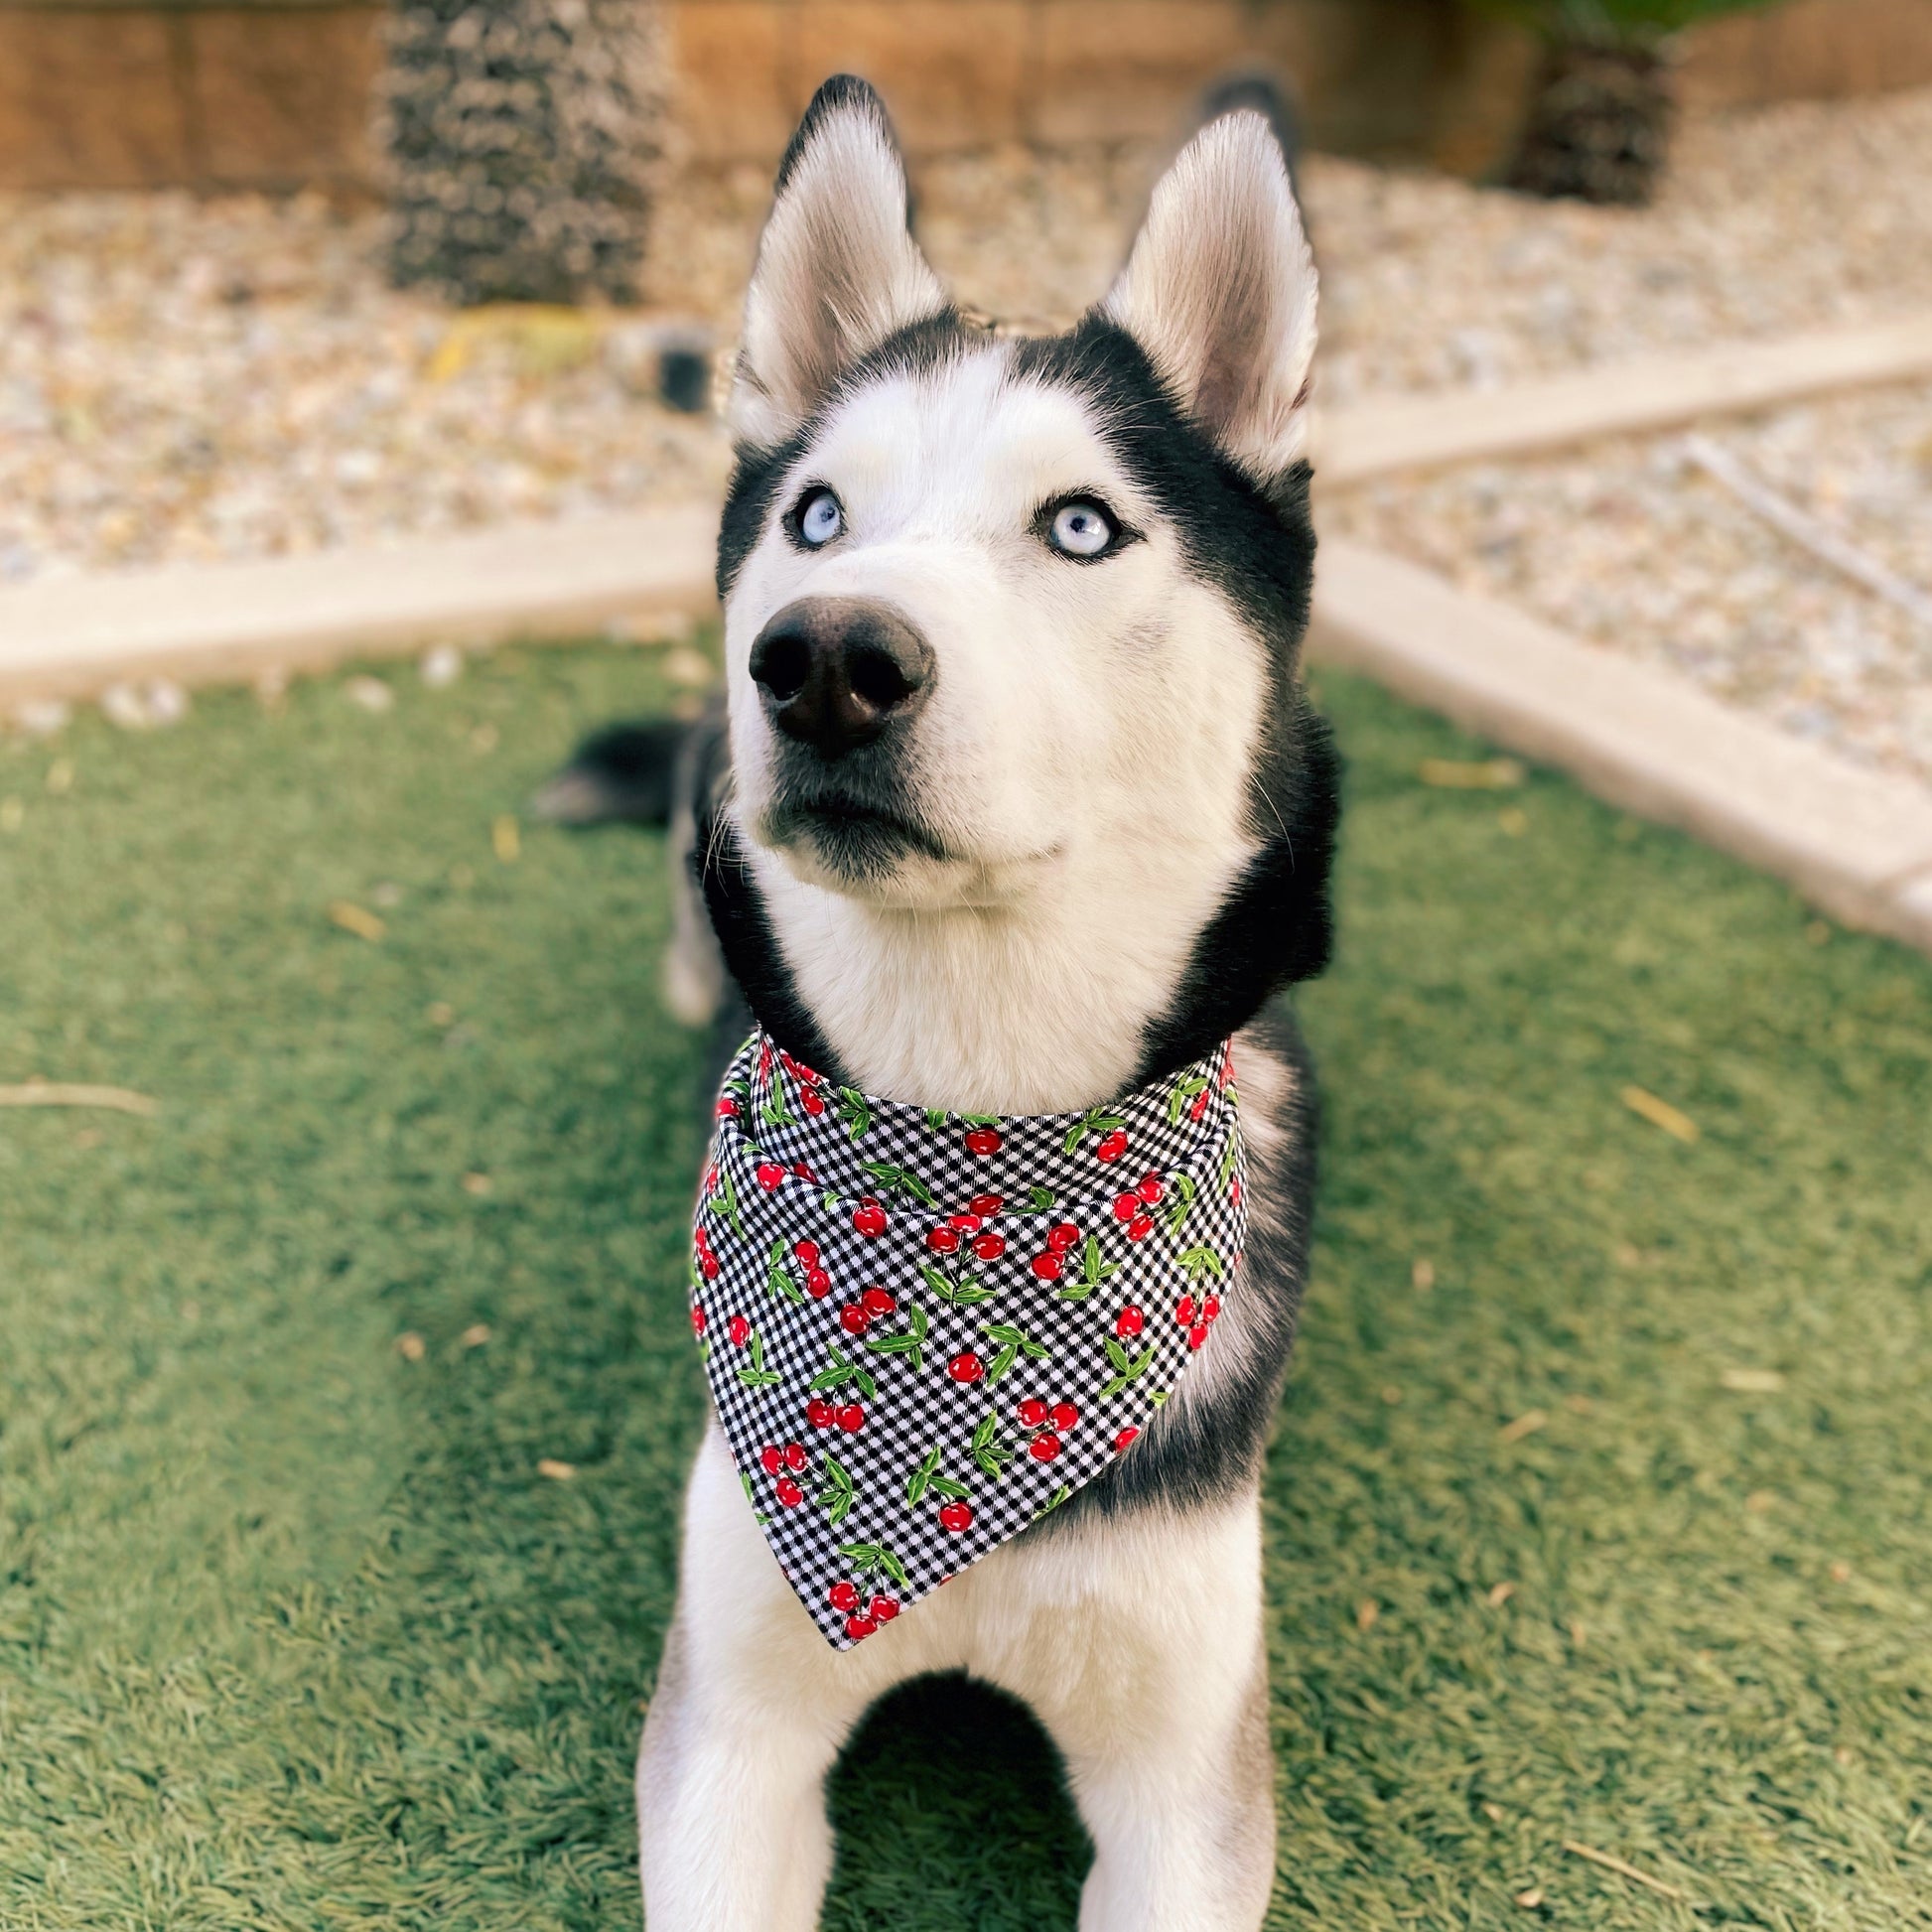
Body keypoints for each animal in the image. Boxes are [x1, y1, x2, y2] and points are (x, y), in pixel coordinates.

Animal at [587, 74, 1344, 1932]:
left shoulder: (1187, 1782)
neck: (975, 1131)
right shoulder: (728, 1724)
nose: (825, 660)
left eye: (1079, 524)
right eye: (818, 517)